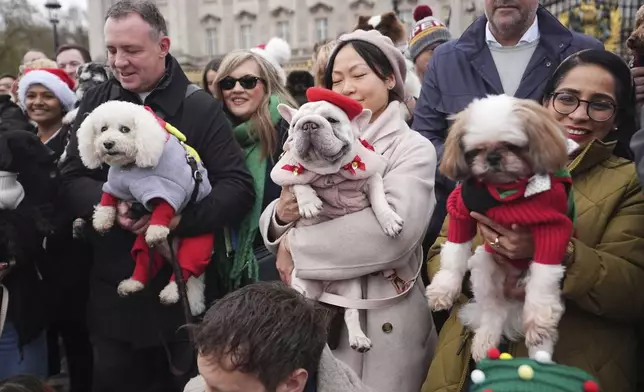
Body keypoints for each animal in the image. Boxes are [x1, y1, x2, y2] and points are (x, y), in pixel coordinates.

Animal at [75, 100, 211, 316]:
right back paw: (133, 283)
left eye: (125, 129)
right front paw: (102, 219)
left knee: (183, 272)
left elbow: (164, 207)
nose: (108, 144)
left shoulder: (169, 186)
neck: (131, 169)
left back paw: (171, 293)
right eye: (103, 129)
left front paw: (156, 229)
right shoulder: (117, 183)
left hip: (197, 243)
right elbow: (108, 197)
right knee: (145, 261)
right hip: (142, 244)